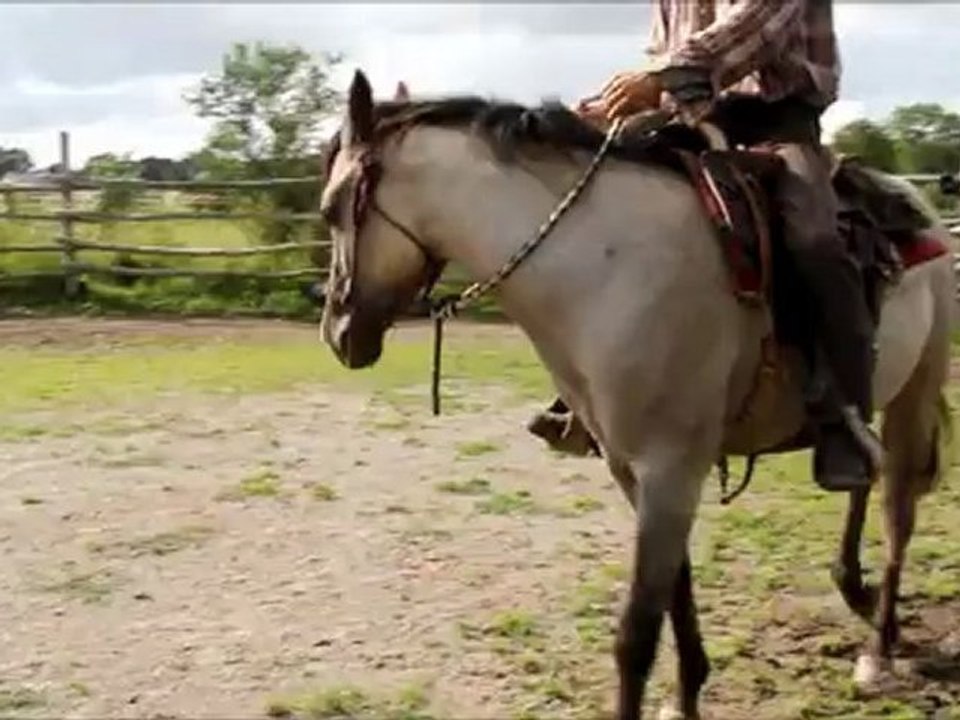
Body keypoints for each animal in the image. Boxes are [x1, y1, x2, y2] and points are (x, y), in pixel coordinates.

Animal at [319, 69, 956, 720]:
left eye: (331, 209)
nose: (339, 334)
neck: (607, 266)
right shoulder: (631, 471)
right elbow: (677, 594)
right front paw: (688, 694)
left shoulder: (670, 471)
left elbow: (637, 634)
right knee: (864, 469)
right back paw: (852, 579)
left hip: (918, 389)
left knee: (898, 511)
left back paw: (878, 650)